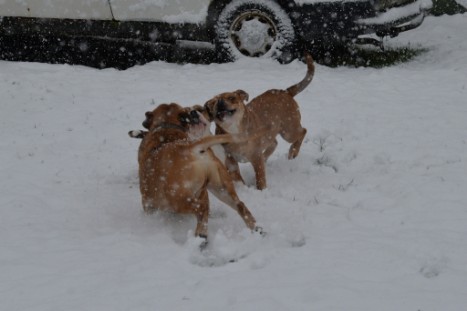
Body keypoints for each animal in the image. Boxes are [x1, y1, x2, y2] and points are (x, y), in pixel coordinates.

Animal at [131, 102, 264, 246]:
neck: (166, 127)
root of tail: (192, 148)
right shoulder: (204, 192)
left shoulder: (148, 202)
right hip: (221, 188)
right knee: (239, 205)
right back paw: (257, 229)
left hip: (177, 199)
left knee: (201, 209)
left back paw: (201, 237)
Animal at [204, 53, 314, 190]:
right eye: (213, 103)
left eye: (231, 98)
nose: (219, 102)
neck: (234, 130)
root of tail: (285, 91)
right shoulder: (230, 160)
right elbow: (238, 177)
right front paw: (242, 187)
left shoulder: (256, 157)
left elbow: (260, 178)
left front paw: (261, 190)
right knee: (274, 143)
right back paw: (268, 156)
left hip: (288, 131)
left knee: (303, 131)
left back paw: (293, 151)